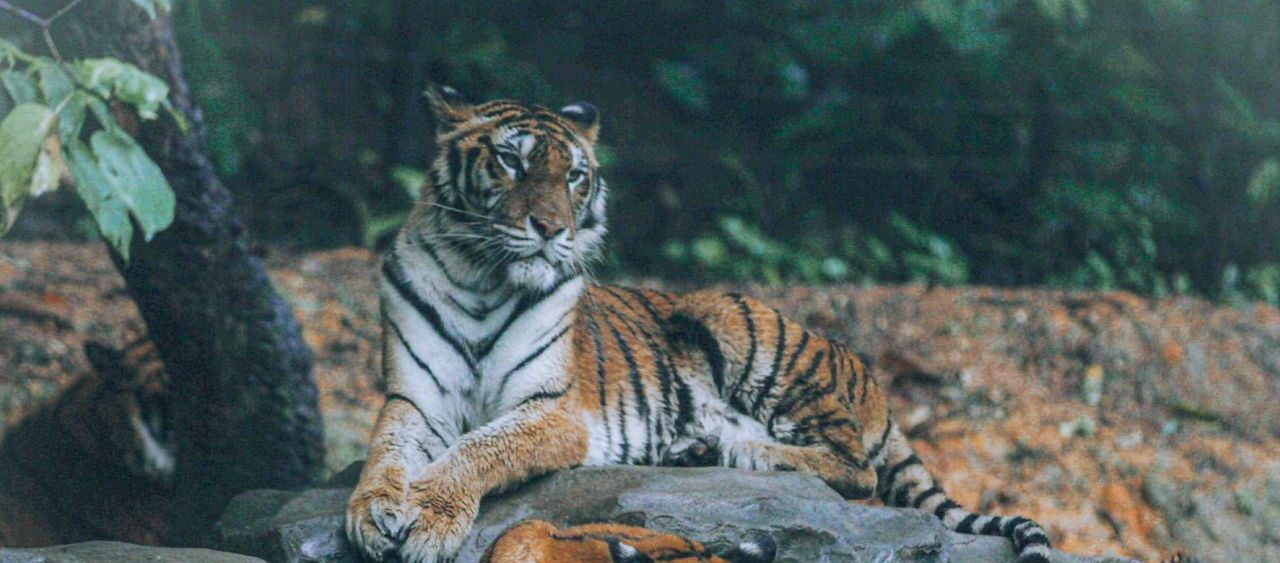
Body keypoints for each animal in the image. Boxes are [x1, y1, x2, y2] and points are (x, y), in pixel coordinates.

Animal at [344, 85, 1054, 563]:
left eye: (574, 176)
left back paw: (744, 452)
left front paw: (429, 521)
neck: (482, 277)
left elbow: (477, 449)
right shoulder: (415, 399)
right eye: (511, 162)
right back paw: (697, 447)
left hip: (748, 334)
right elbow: (386, 453)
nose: (550, 229)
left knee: (857, 468)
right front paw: (372, 513)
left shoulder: (553, 411)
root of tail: (865, 373)